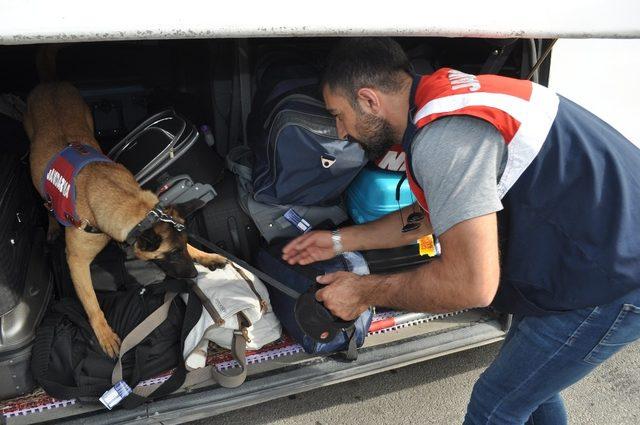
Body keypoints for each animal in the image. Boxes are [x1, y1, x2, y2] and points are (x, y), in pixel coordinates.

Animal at [23, 80, 228, 358]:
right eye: (171, 254)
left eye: (183, 247)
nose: (193, 275)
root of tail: (50, 82)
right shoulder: (76, 262)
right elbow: (91, 302)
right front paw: (104, 334)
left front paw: (207, 256)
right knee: (46, 205)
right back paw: (53, 225)